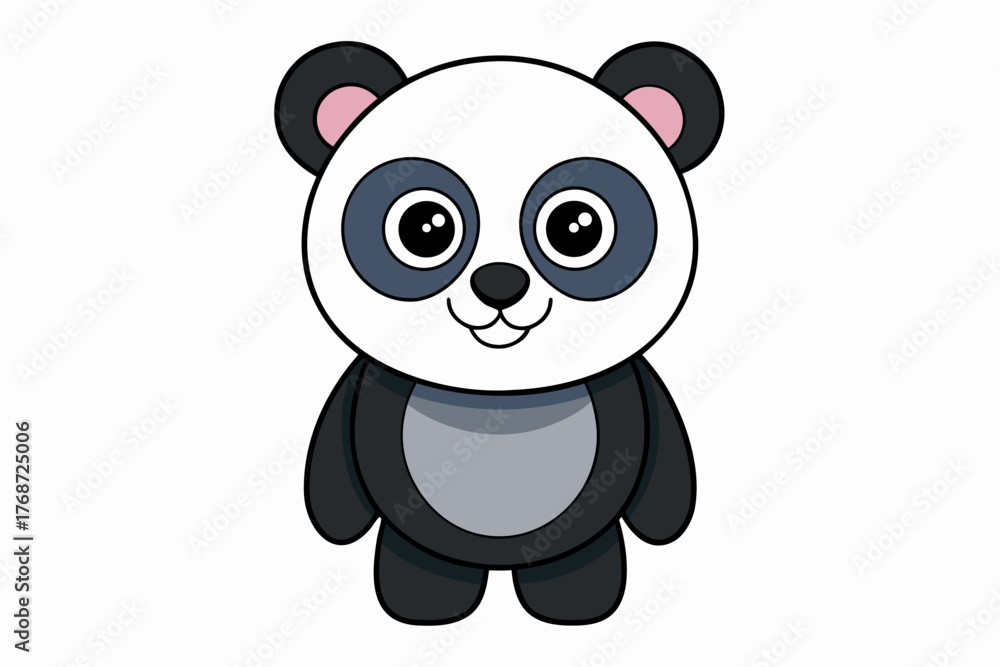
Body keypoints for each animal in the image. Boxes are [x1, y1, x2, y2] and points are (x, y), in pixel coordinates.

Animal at [275, 41, 723, 625]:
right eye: (425, 228)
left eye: (576, 227)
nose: (500, 284)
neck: (501, 391)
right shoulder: (363, 387)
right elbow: (333, 473)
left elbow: (667, 472)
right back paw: (424, 609)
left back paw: (576, 609)